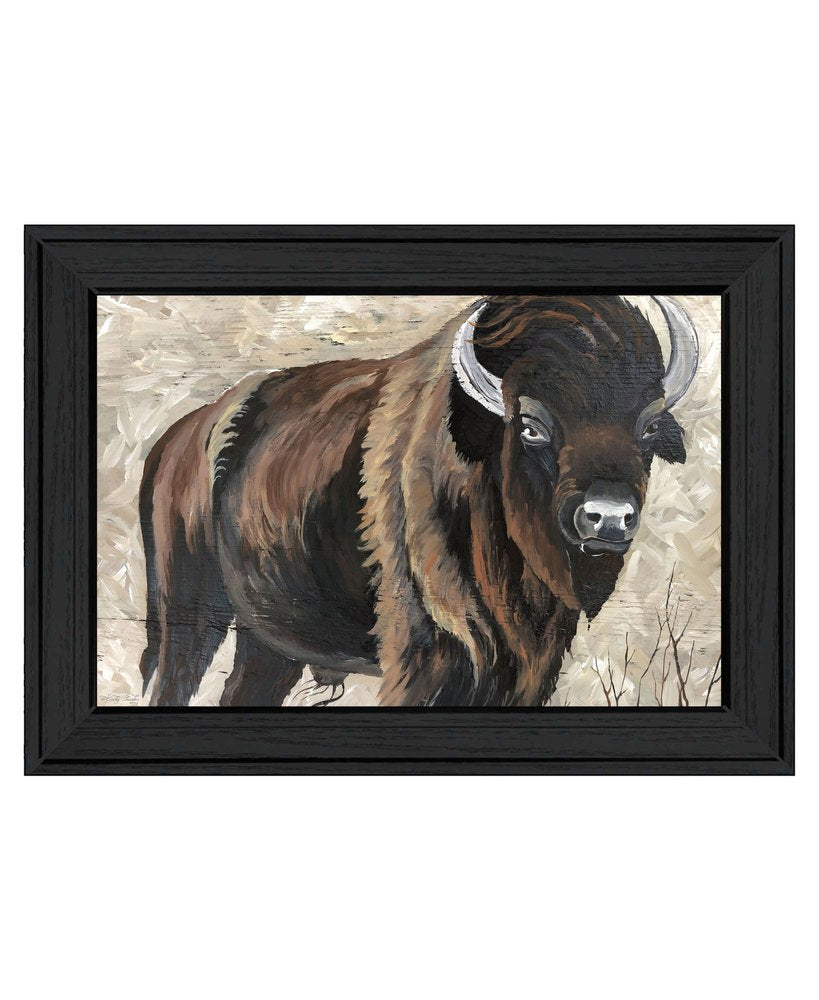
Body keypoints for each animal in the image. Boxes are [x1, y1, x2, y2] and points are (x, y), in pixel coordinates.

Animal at [138, 295, 699, 707]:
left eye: (649, 427)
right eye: (531, 425)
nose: (609, 518)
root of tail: (178, 438)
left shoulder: (531, 666)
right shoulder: (427, 660)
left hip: (270, 642)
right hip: (187, 617)